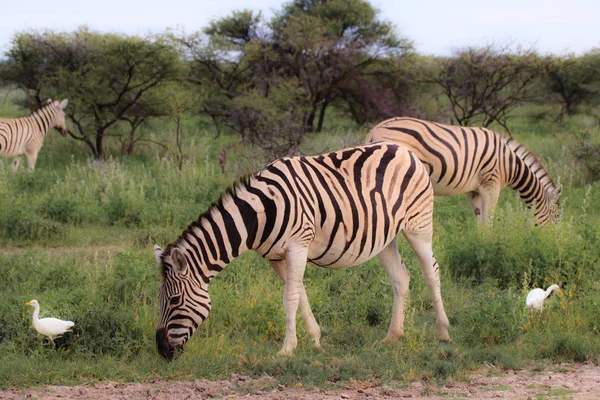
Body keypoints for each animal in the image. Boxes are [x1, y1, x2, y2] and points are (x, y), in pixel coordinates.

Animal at [155, 143, 450, 360]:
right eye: (160, 299)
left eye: (175, 300)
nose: (162, 352)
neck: (260, 214)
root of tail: (404, 149)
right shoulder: (275, 256)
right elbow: (300, 295)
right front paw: (315, 339)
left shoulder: (299, 243)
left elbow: (290, 298)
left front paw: (286, 349)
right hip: (385, 236)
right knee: (401, 278)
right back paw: (392, 337)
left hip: (418, 224)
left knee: (431, 272)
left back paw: (443, 333)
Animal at [366, 117, 564, 227]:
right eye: (556, 215)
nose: (553, 241)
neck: (510, 165)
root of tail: (373, 131)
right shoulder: (491, 185)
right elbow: (488, 221)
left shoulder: (474, 191)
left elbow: (480, 222)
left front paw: (481, 246)